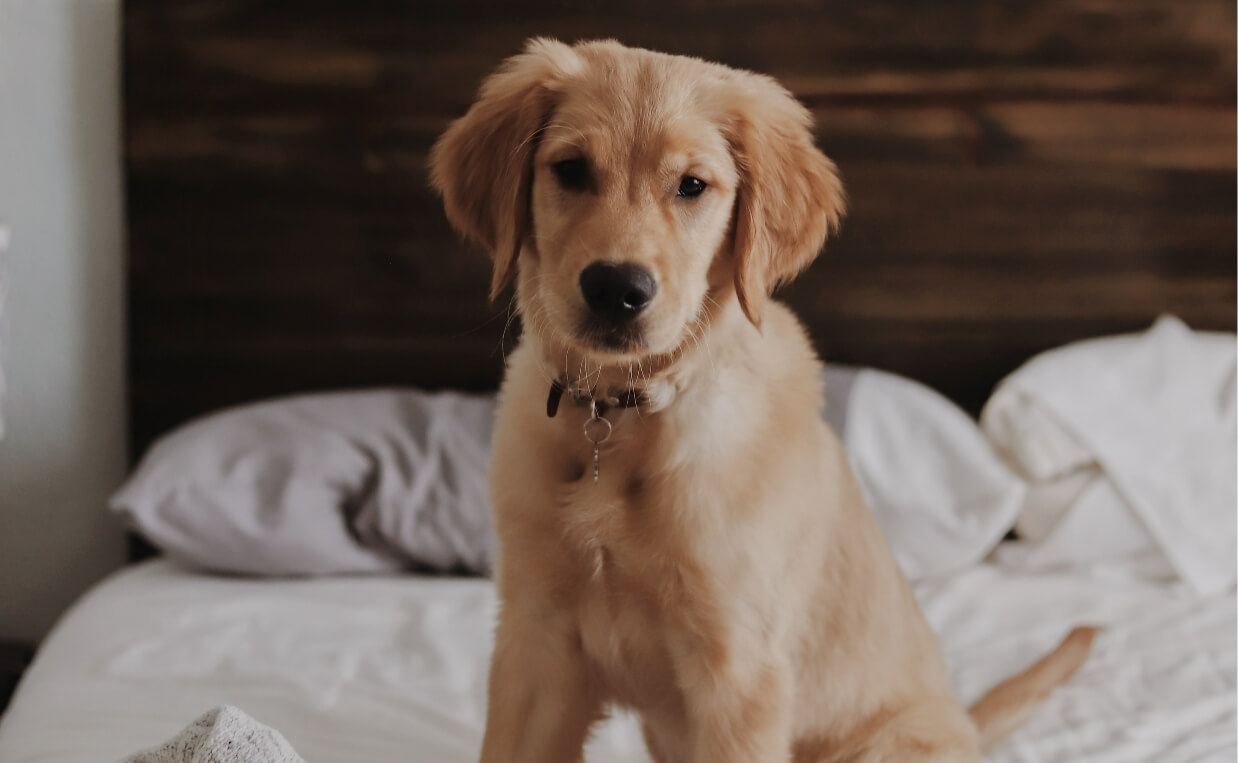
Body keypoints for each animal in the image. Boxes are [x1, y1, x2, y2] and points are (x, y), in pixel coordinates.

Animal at [428, 40, 1094, 763]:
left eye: (692, 185)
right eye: (571, 170)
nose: (616, 289)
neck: (622, 413)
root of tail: (963, 720)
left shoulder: (738, 669)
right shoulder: (535, 638)